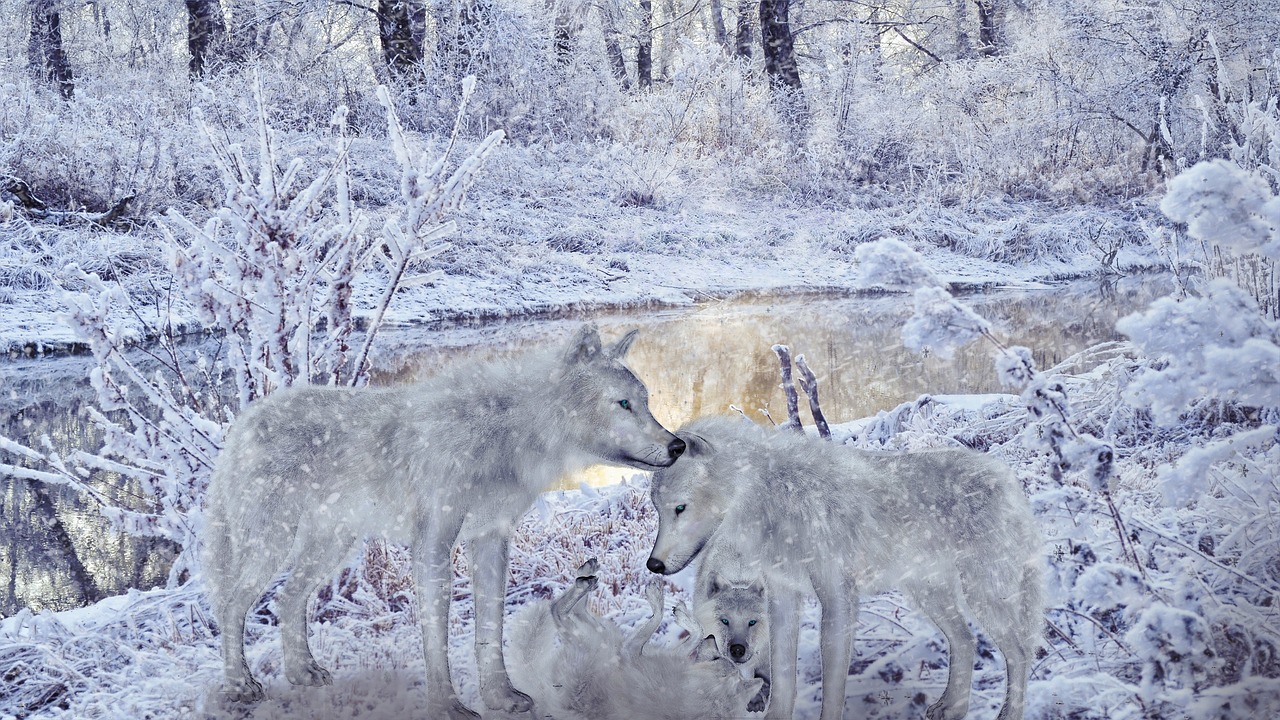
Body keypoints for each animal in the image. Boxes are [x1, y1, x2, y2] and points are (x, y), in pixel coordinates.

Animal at [204, 326, 686, 717]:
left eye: (646, 403)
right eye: (623, 404)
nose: (679, 445)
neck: (509, 434)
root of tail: (244, 421)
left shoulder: (492, 538)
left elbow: (489, 628)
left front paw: (501, 698)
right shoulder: (434, 543)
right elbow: (436, 635)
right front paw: (448, 706)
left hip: (331, 547)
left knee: (288, 599)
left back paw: (303, 674)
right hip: (272, 544)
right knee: (231, 604)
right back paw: (239, 686)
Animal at [504, 556, 762, 717]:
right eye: (720, 658)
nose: (713, 639)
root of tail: (546, 694)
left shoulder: (631, 653)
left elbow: (656, 621)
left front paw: (658, 599)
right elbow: (693, 631)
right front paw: (684, 617)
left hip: (594, 640)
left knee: (559, 609)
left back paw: (585, 583)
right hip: (603, 636)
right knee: (578, 610)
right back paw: (587, 571)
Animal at [645, 415, 1044, 717]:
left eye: (680, 507)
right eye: (657, 510)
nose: (654, 564)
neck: (774, 498)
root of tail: (1007, 477)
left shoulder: (838, 597)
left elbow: (833, 684)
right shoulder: (782, 595)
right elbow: (783, 676)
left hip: (983, 595)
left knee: (1021, 652)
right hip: (930, 595)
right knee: (966, 639)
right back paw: (951, 709)